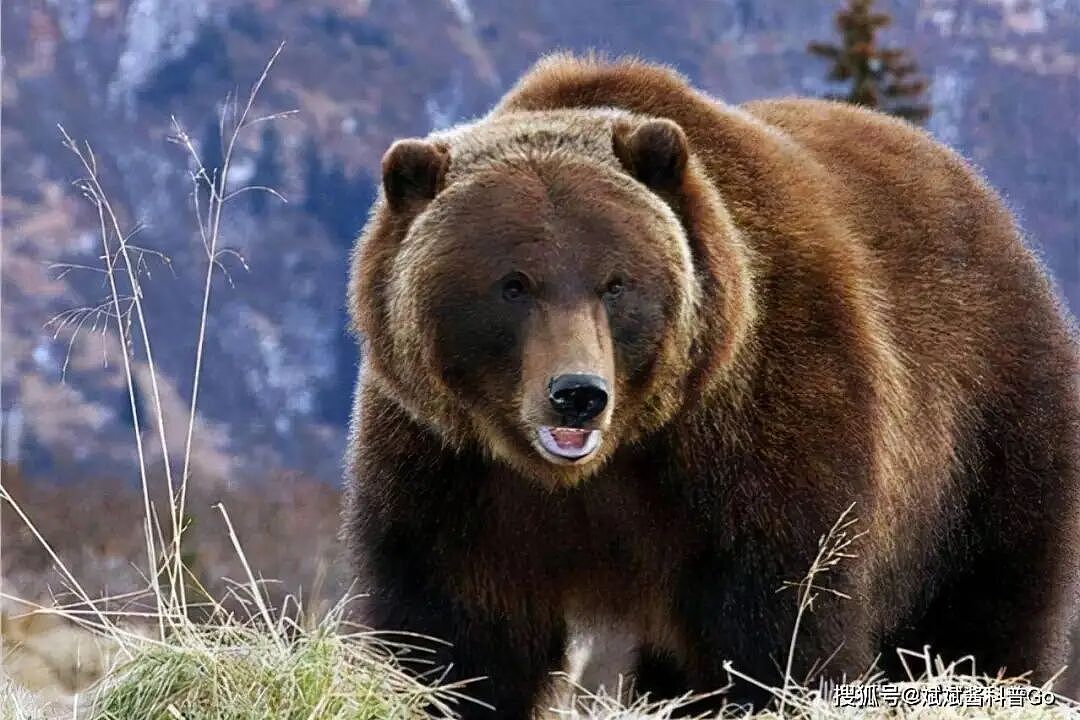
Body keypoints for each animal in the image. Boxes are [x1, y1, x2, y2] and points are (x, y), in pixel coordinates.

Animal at [343, 54, 1080, 718]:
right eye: (513, 284)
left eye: (616, 282)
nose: (577, 393)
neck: (603, 466)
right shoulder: (453, 470)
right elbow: (453, 634)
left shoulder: (759, 433)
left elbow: (778, 625)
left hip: (986, 434)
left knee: (985, 604)